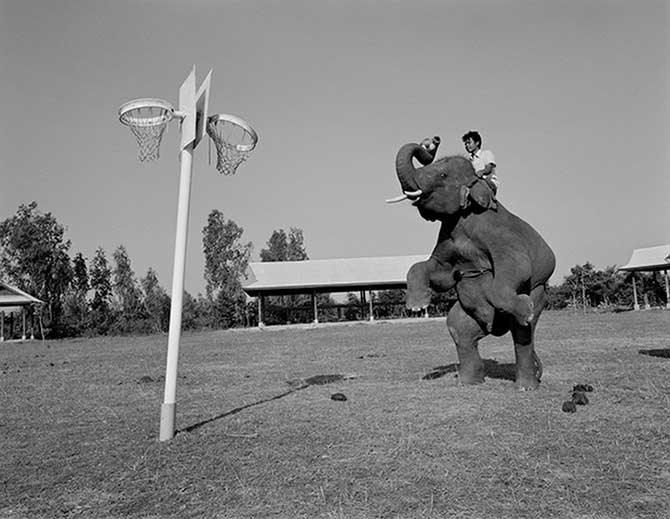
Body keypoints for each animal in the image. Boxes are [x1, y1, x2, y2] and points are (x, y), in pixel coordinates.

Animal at [388, 136, 556, 388]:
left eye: (443, 175)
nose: (432, 141)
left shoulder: (500, 233)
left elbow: (517, 266)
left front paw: (525, 311)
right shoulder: (446, 240)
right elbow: (437, 272)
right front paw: (416, 306)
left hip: (538, 291)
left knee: (522, 334)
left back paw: (525, 385)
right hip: (468, 315)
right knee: (459, 329)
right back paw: (468, 382)